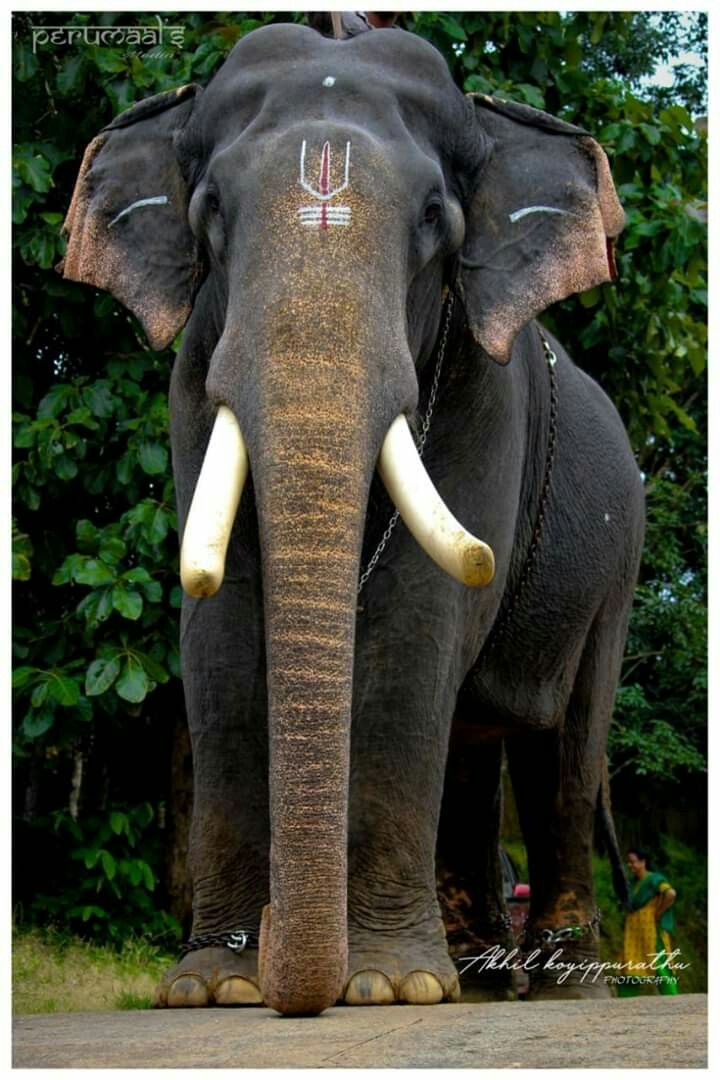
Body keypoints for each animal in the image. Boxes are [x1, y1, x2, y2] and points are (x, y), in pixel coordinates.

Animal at [62, 16, 643, 1015]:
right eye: (209, 212)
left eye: (435, 221)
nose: (287, 968)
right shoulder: (193, 372)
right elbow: (219, 631)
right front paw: (217, 990)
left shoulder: (484, 393)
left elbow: (418, 617)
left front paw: (382, 985)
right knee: (474, 742)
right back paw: (473, 978)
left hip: (618, 563)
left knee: (564, 745)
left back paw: (556, 991)